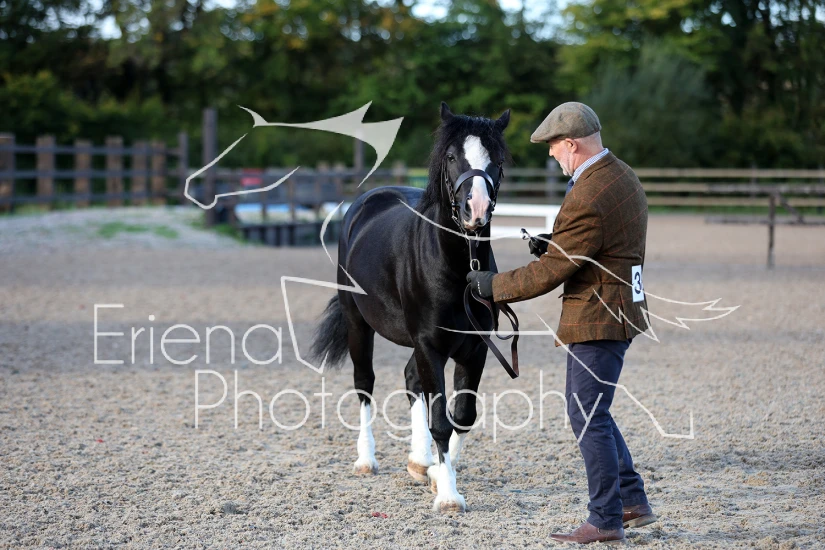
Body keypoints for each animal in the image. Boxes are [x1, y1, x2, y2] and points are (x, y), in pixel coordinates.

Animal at [310, 102, 511, 512]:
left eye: (498, 159)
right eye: (451, 156)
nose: (477, 209)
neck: (457, 266)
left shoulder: (475, 348)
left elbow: (462, 416)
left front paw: (435, 473)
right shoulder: (429, 345)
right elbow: (440, 420)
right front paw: (448, 495)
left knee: (410, 380)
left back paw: (419, 462)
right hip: (358, 326)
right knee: (365, 385)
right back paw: (366, 460)